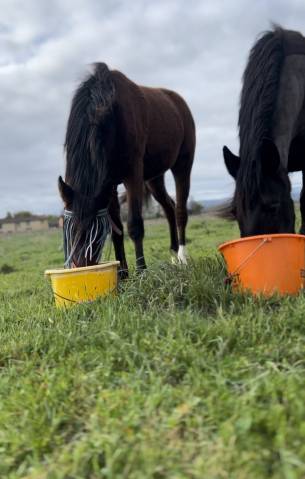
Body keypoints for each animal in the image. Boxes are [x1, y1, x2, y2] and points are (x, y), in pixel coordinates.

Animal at [58, 62, 195, 278]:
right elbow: (117, 230)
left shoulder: (133, 176)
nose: (81, 267)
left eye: (94, 230)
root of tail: (178, 101)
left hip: (182, 164)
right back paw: (173, 255)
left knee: (180, 209)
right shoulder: (109, 184)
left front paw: (141, 272)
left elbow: (134, 225)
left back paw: (182, 257)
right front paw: (122, 274)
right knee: (169, 207)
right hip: (154, 179)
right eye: (67, 227)